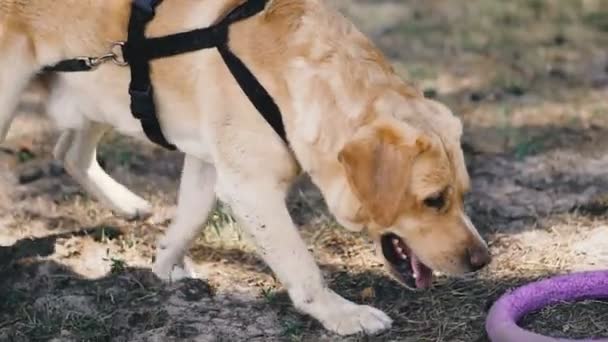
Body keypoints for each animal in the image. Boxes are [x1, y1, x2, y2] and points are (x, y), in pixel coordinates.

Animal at [0, 0, 490, 334]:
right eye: (433, 200)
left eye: (463, 195)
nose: (483, 260)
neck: (291, 77)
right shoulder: (252, 189)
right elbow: (301, 266)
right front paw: (342, 314)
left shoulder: (210, 165)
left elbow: (189, 221)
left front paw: (166, 267)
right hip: (13, 97)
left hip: (98, 91)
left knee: (68, 150)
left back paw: (129, 204)